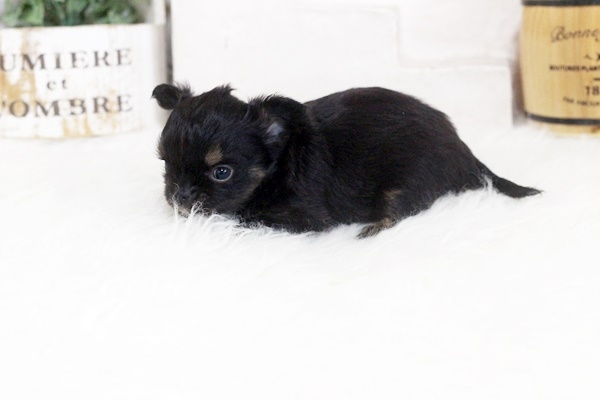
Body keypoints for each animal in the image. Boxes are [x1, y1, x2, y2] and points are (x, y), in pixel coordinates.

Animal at [152, 84, 540, 238]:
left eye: (222, 172)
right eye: (166, 164)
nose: (180, 196)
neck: (279, 164)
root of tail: (465, 152)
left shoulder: (302, 218)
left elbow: (244, 216)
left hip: (405, 183)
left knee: (404, 209)